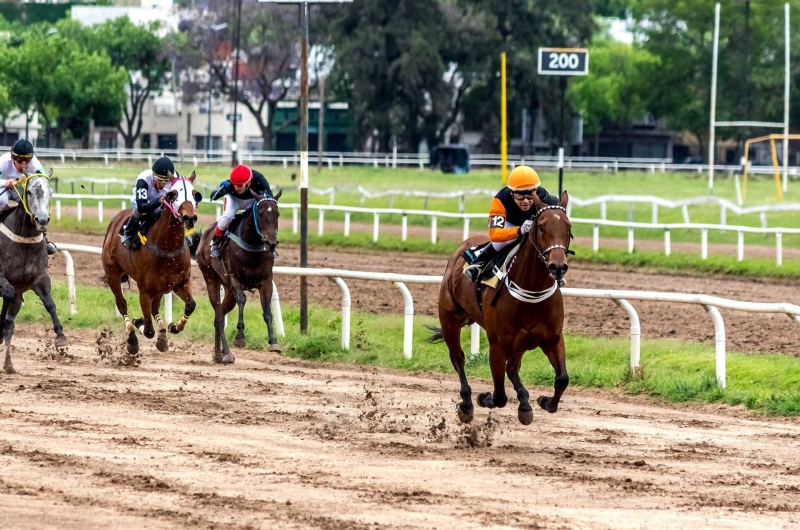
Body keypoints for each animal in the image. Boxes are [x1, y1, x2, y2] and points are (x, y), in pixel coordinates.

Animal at [0, 169, 67, 372]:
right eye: (29, 192)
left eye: (50, 191)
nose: (42, 219)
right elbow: (6, 292)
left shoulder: (39, 278)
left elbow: (50, 304)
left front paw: (61, 336)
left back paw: (8, 364)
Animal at [101, 173, 202, 354]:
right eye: (172, 194)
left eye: (194, 193)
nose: (189, 218)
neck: (168, 248)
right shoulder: (144, 290)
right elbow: (148, 329)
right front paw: (138, 323)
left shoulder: (180, 282)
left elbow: (191, 304)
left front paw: (173, 327)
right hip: (112, 273)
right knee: (122, 304)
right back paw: (132, 337)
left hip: (162, 286)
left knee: (155, 308)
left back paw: (162, 332)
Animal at [195, 188, 282, 366]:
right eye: (260, 214)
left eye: (277, 213)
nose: (271, 243)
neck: (252, 245)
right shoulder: (235, 278)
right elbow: (243, 300)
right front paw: (240, 336)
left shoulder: (266, 281)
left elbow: (267, 310)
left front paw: (273, 341)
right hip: (211, 279)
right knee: (219, 316)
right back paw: (227, 353)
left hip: (228, 291)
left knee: (219, 316)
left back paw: (218, 354)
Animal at [434, 190, 572, 424]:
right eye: (541, 227)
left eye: (568, 227)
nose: (558, 267)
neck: (532, 293)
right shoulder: (497, 346)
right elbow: (499, 397)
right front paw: (484, 397)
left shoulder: (552, 338)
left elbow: (562, 378)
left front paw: (544, 401)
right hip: (449, 319)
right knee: (458, 359)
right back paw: (467, 403)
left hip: (522, 342)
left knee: (513, 368)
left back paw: (524, 402)